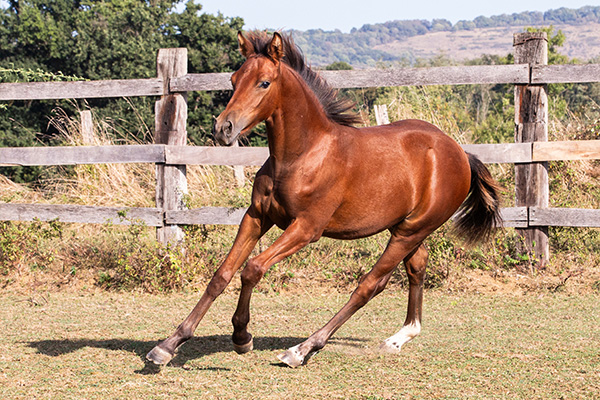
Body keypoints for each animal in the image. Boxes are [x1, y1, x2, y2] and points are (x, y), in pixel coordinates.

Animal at [146, 31, 502, 368]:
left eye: (264, 82)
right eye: (233, 80)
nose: (223, 129)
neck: (302, 156)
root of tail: (460, 153)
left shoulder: (306, 228)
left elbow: (252, 269)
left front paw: (241, 337)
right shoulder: (257, 216)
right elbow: (222, 274)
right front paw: (167, 346)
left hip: (411, 230)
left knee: (370, 285)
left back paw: (302, 349)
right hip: (405, 228)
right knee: (416, 267)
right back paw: (399, 338)